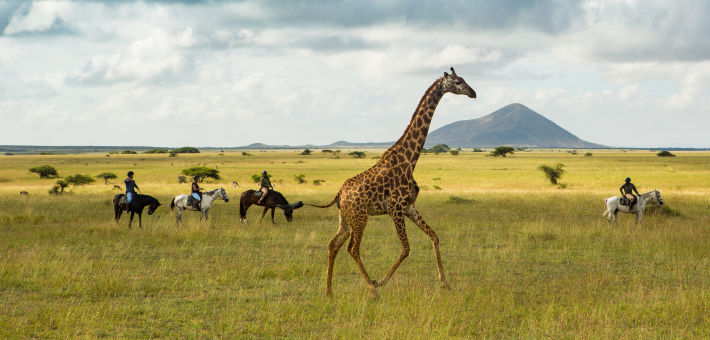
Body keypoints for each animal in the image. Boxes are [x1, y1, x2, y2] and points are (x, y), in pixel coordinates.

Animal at [308, 67, 478, 296]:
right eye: (458, 82)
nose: (473, 93)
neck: (410, 160)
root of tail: (339, 194)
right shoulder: (395, 208)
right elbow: (406, 249)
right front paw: (380, 281)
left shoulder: (409, 207)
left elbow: (434, 237)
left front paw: (445, 283)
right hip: (360, 218)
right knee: (352, 248)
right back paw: (372, 289)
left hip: (345, 219)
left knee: (332, 245)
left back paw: (329, 291)